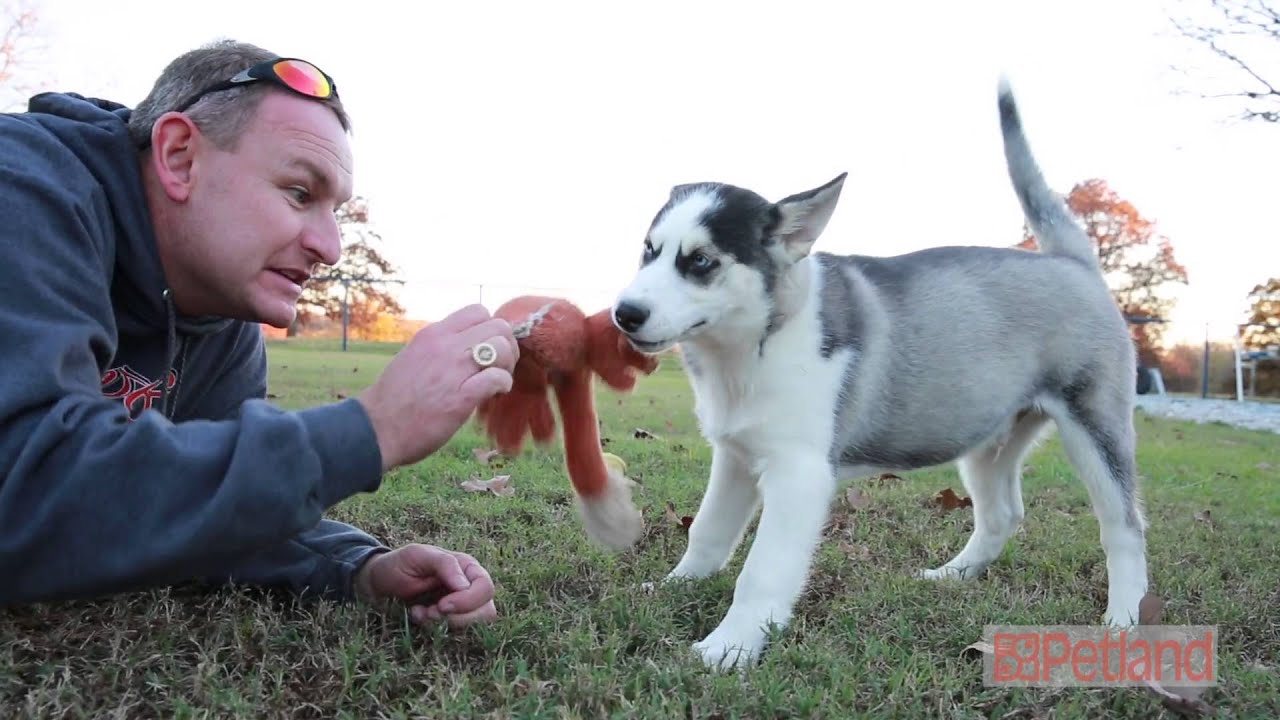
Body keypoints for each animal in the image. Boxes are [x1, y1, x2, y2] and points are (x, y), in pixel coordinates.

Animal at [609, 78, 1152, 666]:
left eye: (701, 261)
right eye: (649, 251)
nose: (624, 313)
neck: (748, 348)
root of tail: (1074, 263)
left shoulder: (799, 473)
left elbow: (763, 570)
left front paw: (729, 646)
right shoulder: (734, 456)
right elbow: (707, 532)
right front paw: (674, 587)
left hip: (1095, 427)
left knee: (1125, 527)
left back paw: (1122, 622)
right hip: (988, 438)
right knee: (1003, 513)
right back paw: (954, 576)